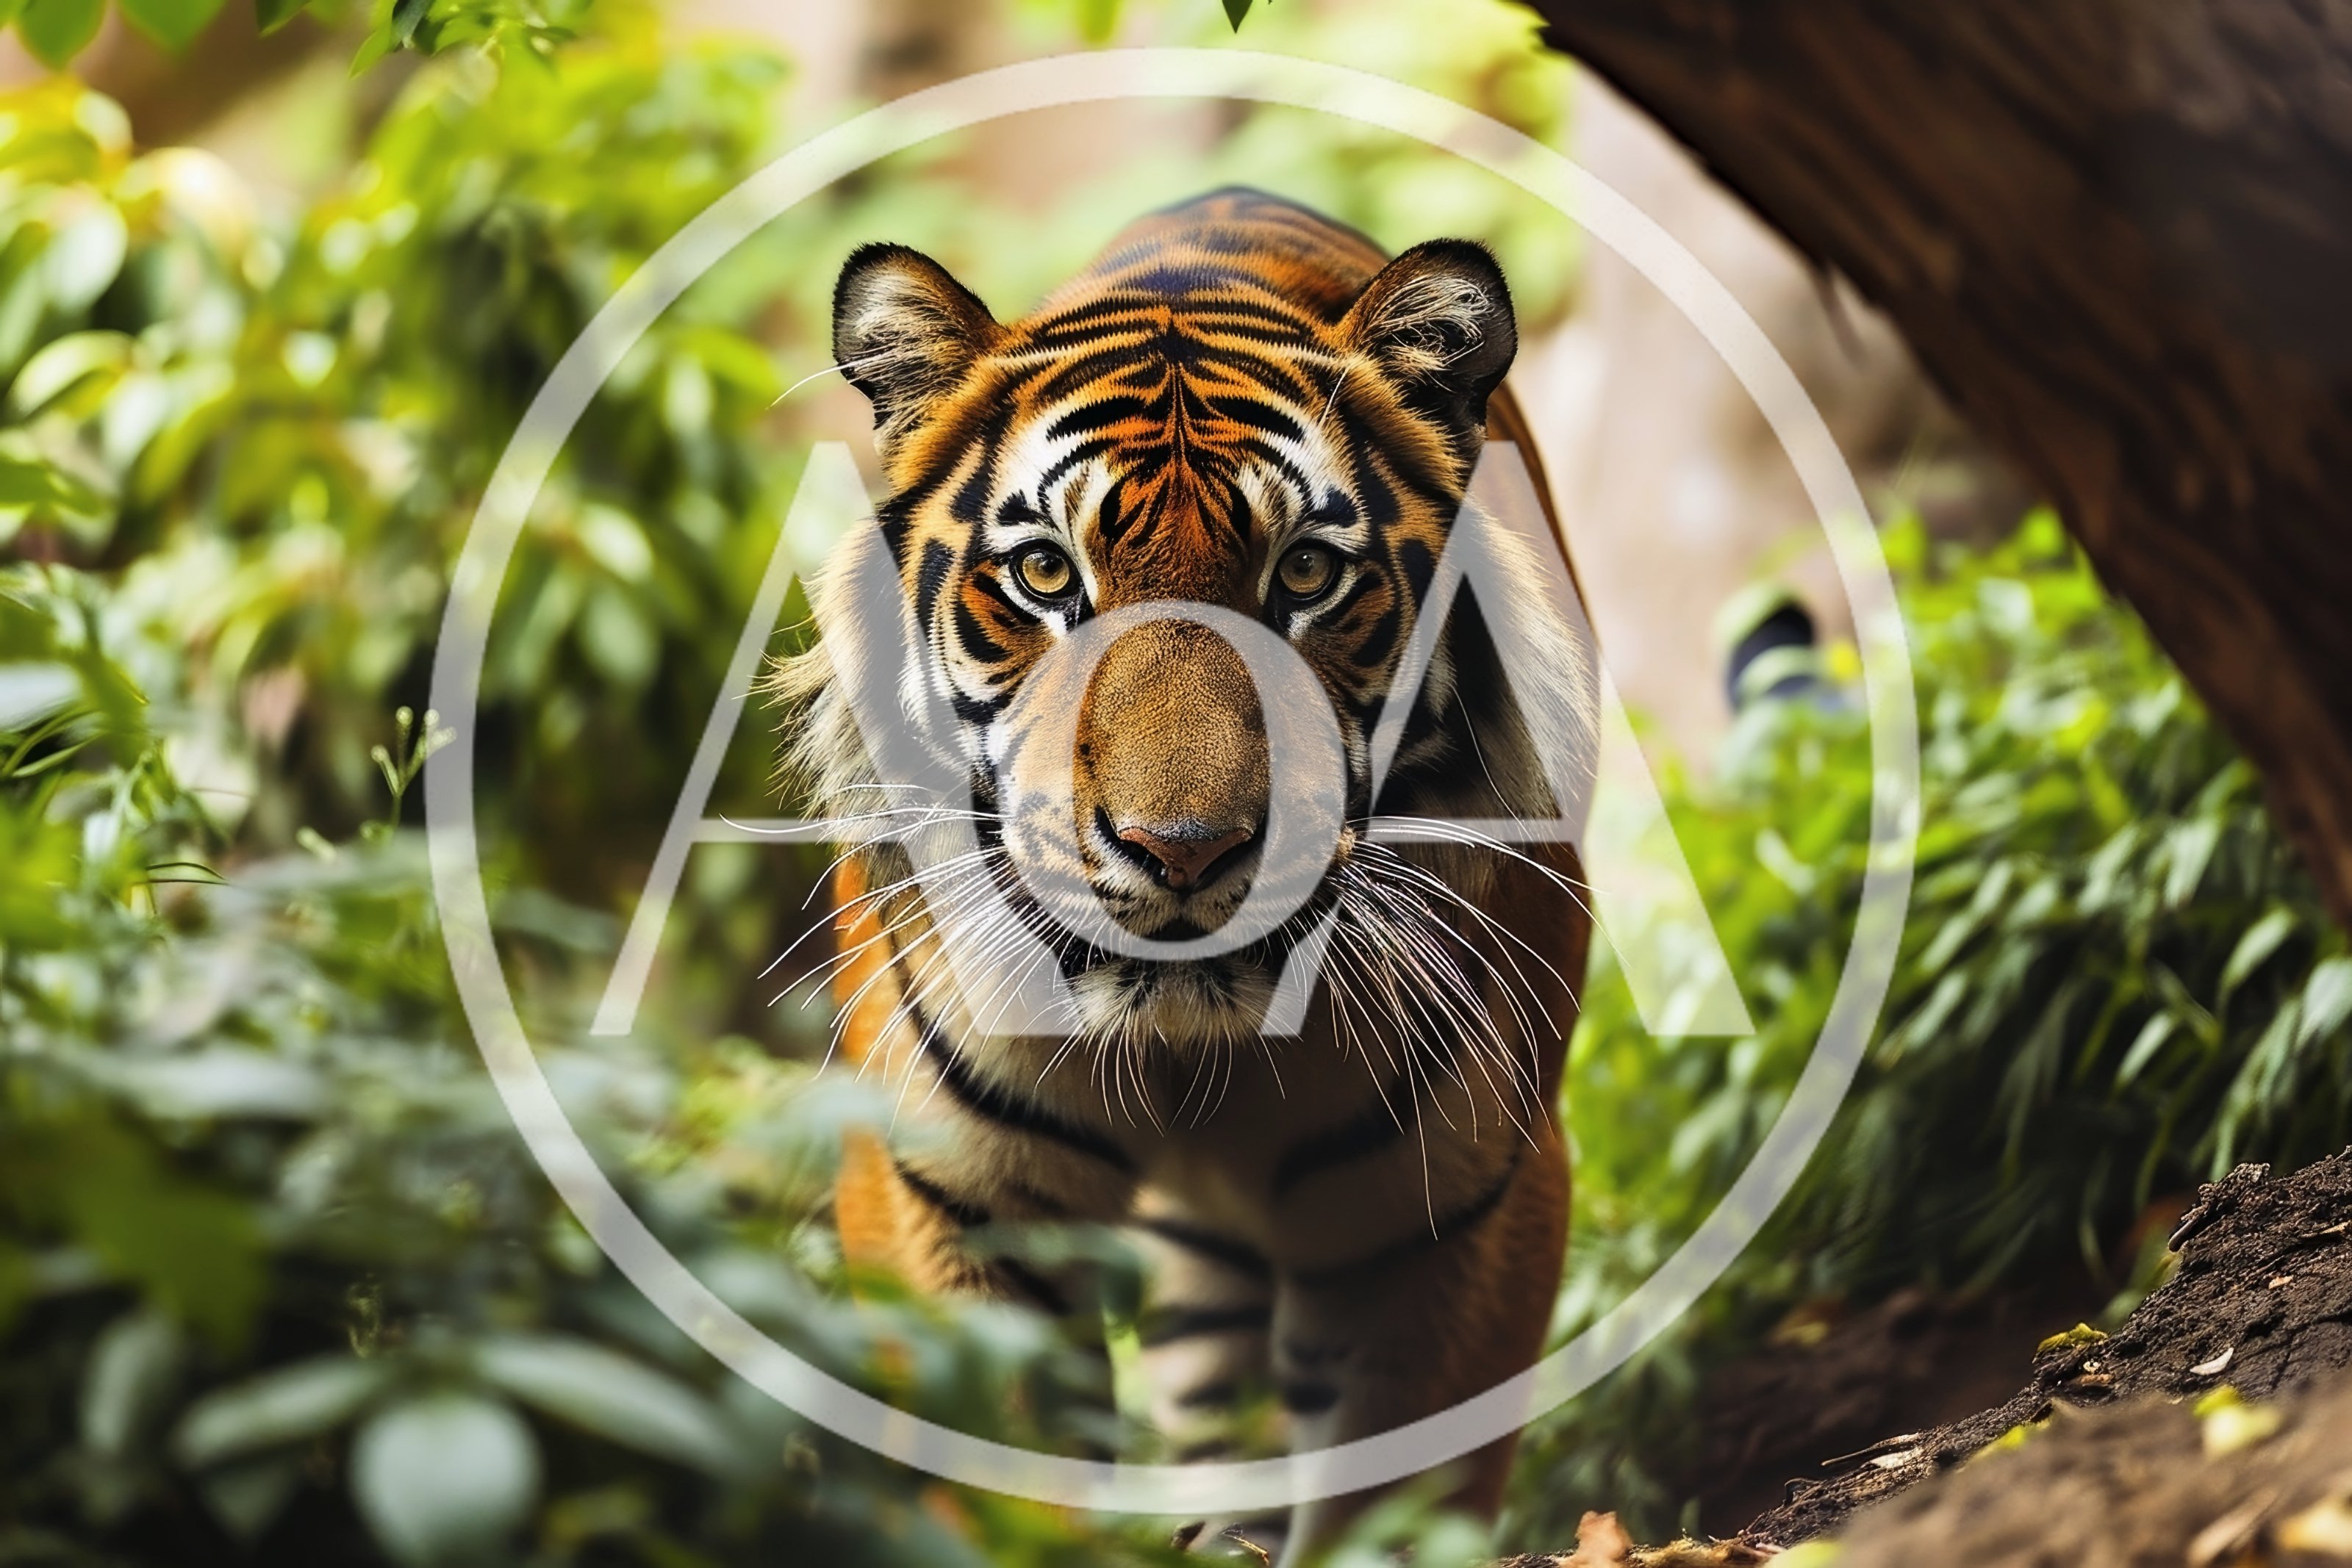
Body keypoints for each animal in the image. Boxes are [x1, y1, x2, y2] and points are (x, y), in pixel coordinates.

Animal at [780, 187, 1597, 1561]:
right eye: (1046, 575)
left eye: (1306, 575)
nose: (1186, 847)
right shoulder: (945, 1190)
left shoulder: (1461, 1199)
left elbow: (1394, 1505)